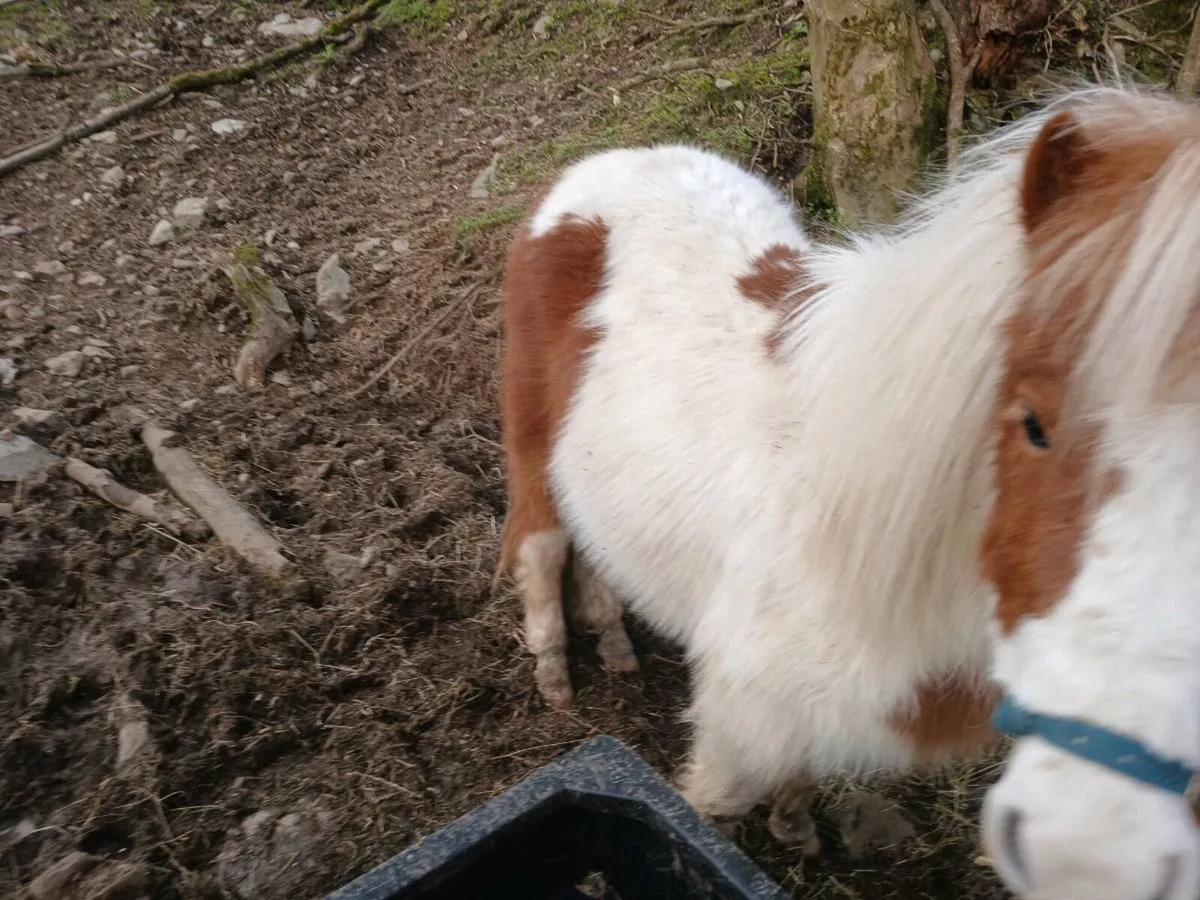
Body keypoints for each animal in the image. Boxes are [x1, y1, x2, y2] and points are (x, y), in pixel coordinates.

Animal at [496, 84, 1200, 900]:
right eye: (1033, 422)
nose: (1093, 852)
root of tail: (597, 168)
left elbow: (799, 767)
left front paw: (795, 824)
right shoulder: (738, 714)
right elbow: (705, 817)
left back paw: (611, 637)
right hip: (530, 445)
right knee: (542, 545)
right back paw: (556, 671)